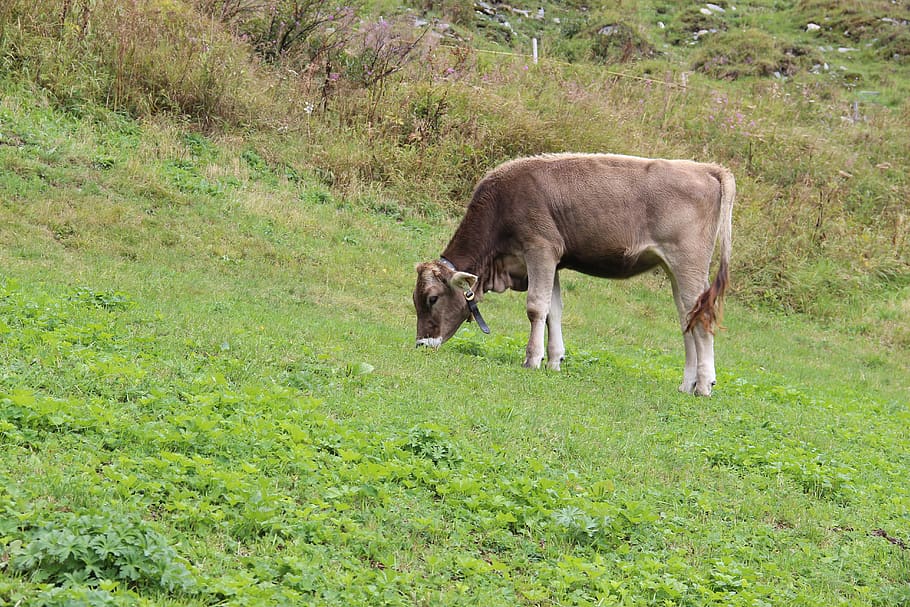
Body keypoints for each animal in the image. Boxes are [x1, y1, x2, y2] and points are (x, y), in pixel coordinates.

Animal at [413, 153, 734, 396]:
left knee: (702, 319)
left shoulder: (540, 249)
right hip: (675, 270)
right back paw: (686, 384)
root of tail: (705, 168)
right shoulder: (552, 261)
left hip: (688, 265)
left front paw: (532, 360)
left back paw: (703, 386)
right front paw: (554, 361)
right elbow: (553, 310)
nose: (421, 344)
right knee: (687, 319)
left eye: (432, 298)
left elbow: (536, 307)